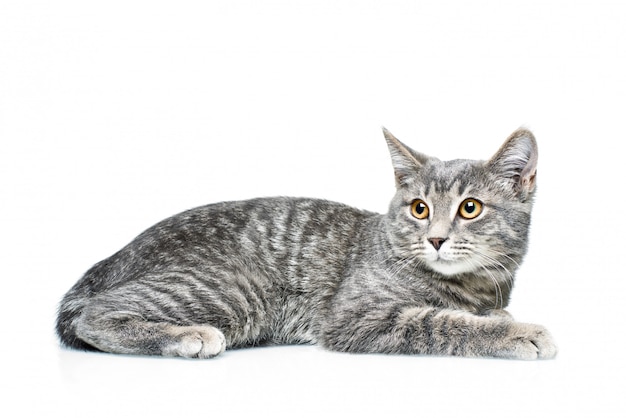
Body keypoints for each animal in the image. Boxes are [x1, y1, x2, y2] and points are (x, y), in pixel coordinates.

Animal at [56, 126, 556, 360]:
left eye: (470, 208)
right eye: (419, 208)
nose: (435, 239)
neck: (467, 286)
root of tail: (114, 256)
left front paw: (500, 315)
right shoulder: (356, 316)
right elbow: (441, 323)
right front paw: (515, 332)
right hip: (235, 288)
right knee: (93, 316)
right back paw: (187, 336)